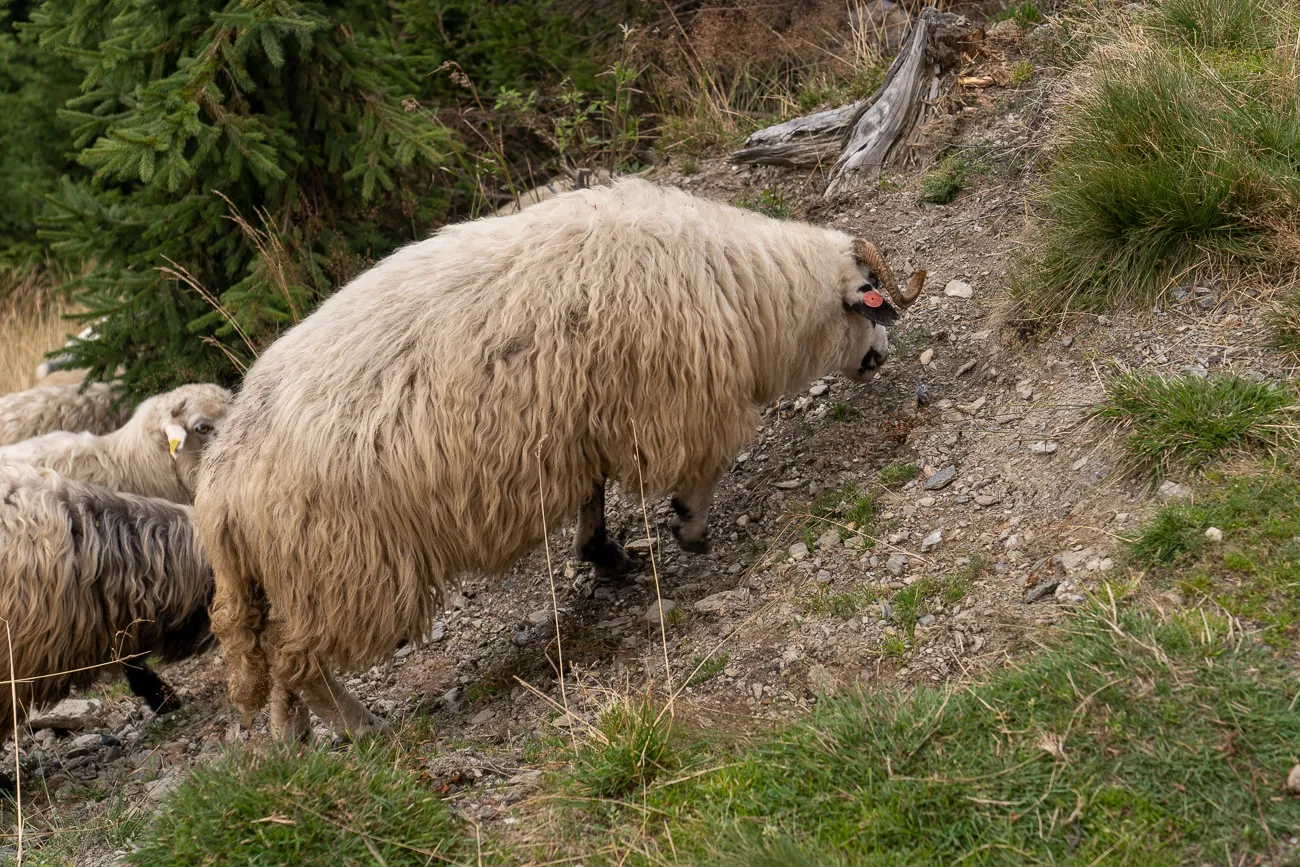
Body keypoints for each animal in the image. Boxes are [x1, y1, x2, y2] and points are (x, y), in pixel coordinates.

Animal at [197, 178, 926, 740]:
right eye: (873, 302)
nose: (883, 358)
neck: (743, 290)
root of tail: (218, 483)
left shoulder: (586, 428)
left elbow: (591, 495)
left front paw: (604, 553)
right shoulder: (673, 408)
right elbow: (698, 473)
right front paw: (688, 529)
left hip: (298, 578)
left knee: (275, 663)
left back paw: (293, 733)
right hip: (345, 572)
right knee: (299, 660)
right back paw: (359, 725)